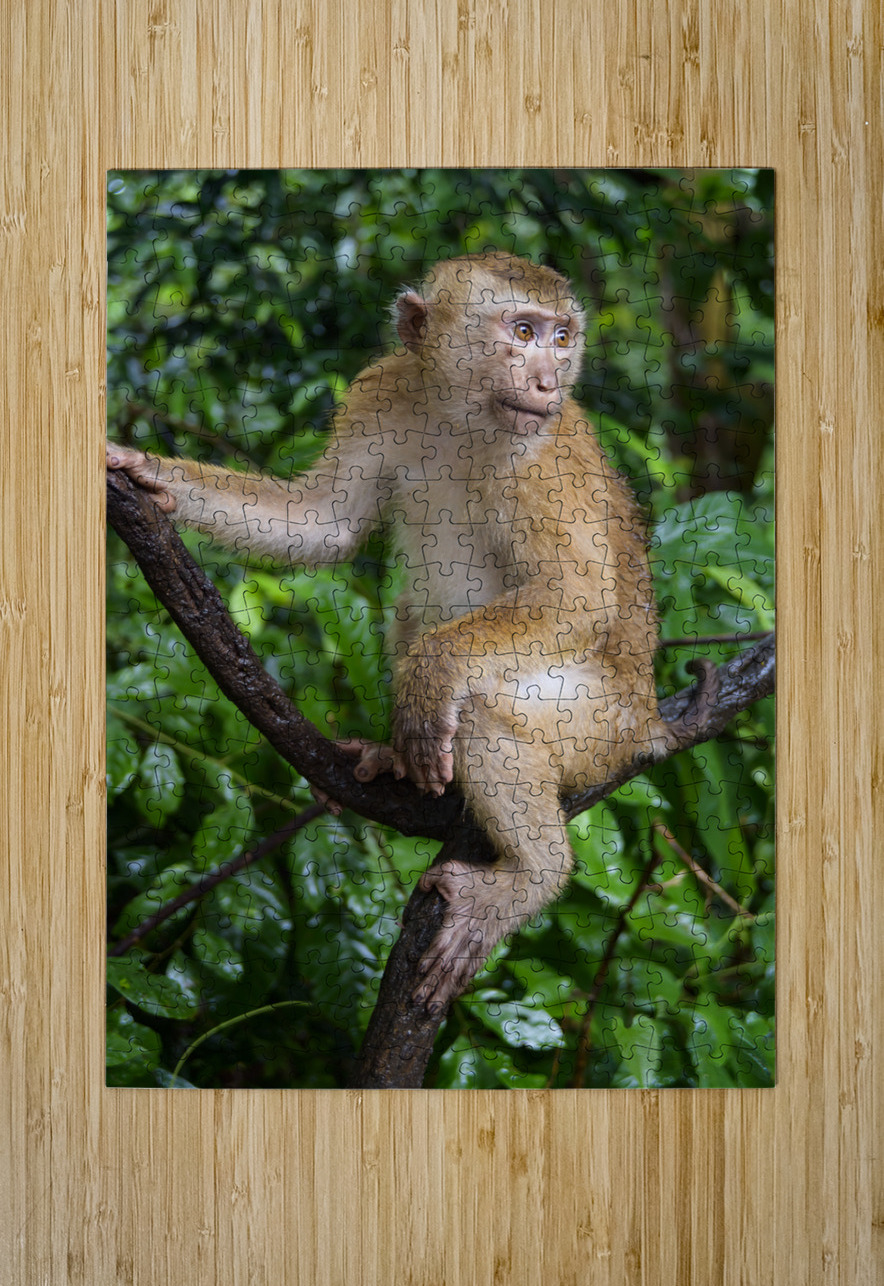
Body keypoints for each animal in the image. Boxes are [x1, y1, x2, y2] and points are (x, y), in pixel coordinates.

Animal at [108, 252, 706, 1014]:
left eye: (562, 337)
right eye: (523, 331)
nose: (548, 380)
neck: (463, 413)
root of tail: (648, 720)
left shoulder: (545, 456)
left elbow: (579, 594)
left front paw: (430, 680)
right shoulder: (385, 390)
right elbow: (321, 522)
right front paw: (149, 472)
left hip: (601, 728)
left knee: (484, 708)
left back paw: (532, 874)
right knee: (412, 612)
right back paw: (400, 760)